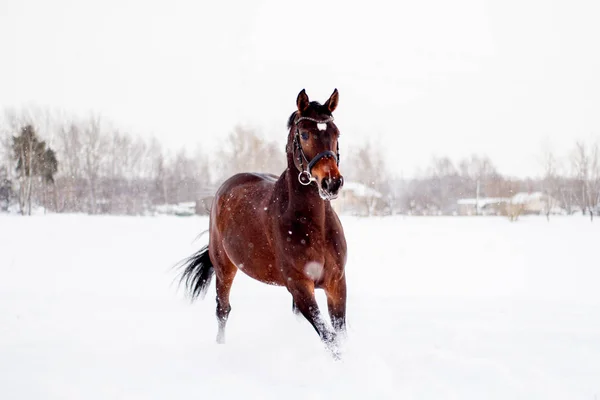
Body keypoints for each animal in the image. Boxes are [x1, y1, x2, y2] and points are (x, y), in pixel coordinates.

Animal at [178, 88, 346, 356]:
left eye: (335, 132)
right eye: (305, 134)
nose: (332, 183)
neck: (315, 225)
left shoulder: (336, 283)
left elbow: (339, 335)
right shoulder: (300, 287)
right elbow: (330, 338)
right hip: (224, 267)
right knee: (223, 310)